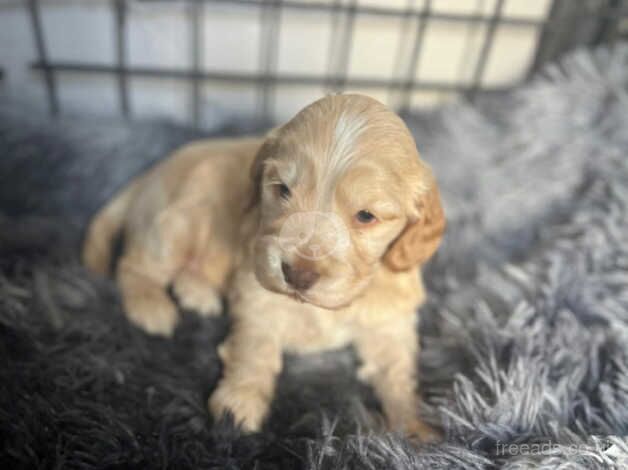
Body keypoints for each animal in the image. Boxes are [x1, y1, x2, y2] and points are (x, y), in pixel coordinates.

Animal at [83, 94, 446, 440]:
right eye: (282, 190)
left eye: (366, 216)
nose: (297, 274)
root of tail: (147, 177)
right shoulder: (256, 292)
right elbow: (254, 351)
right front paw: (237, 408)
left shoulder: (390, 321)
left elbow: (398, 374)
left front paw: (414, 430)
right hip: (178, 222)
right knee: (134, 266)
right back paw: (151, 308)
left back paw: (199, 295)